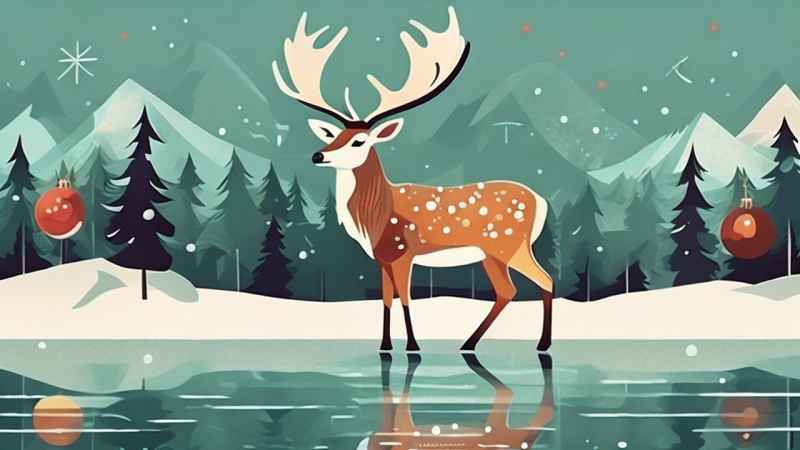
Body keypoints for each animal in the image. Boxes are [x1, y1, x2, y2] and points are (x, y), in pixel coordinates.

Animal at [272, 6, 554, 352]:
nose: (318, 156)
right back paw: (469, 342)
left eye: (359, 141)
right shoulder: (381, 259)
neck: (375, 216)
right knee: (508, 291)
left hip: (509, 245)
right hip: (494, 254)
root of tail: (541, 201)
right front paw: (384, 345)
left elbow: (405, 297)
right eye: (334, 135)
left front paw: (412, 345)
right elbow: (386, 299)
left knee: (544, 280)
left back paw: (540, 344)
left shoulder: (404, 251)